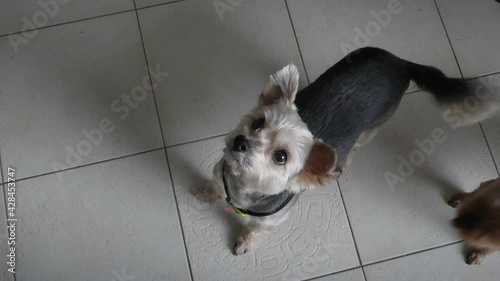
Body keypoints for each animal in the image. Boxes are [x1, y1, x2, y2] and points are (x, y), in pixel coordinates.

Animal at [197, 46, 498, 254]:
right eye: (257, 123)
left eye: (280, 157)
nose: (240, 142)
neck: (242, 187)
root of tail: (401, 63)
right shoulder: (220, 173)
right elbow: (215, 187)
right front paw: (208, 193)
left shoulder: (270, 221)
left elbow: (254, 231)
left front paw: (245, 242)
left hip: (372, 129)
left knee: (357, 147)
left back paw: (345, 161)